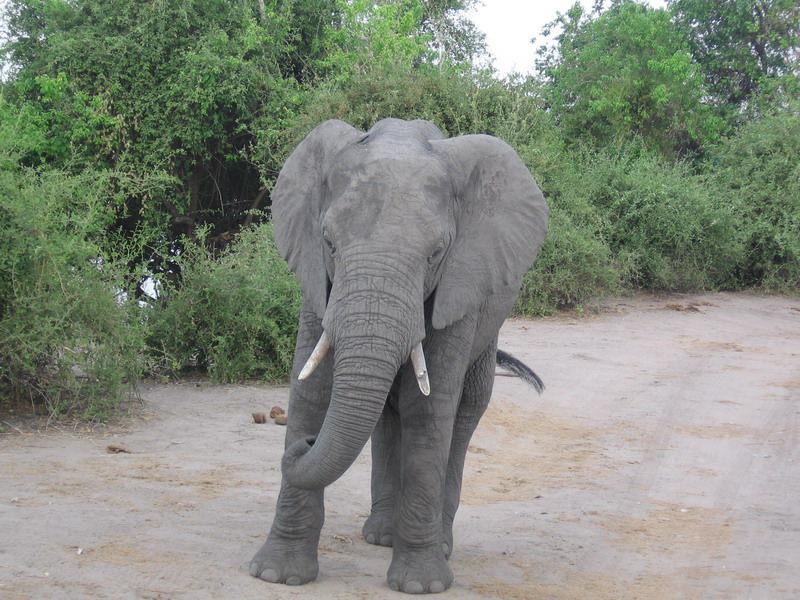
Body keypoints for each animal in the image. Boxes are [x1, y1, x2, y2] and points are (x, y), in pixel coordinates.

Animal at [250, 118, 552, 596]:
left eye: (435, 254)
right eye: (328, 243)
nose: (305, 445)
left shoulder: (459, 284)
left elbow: (427, 410)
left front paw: (420, 586)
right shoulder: (318, 285)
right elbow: (311, 392)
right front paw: (277, 576)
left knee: (464, 414)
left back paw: (437, 544)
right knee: (386, 416)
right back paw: (379, 537)